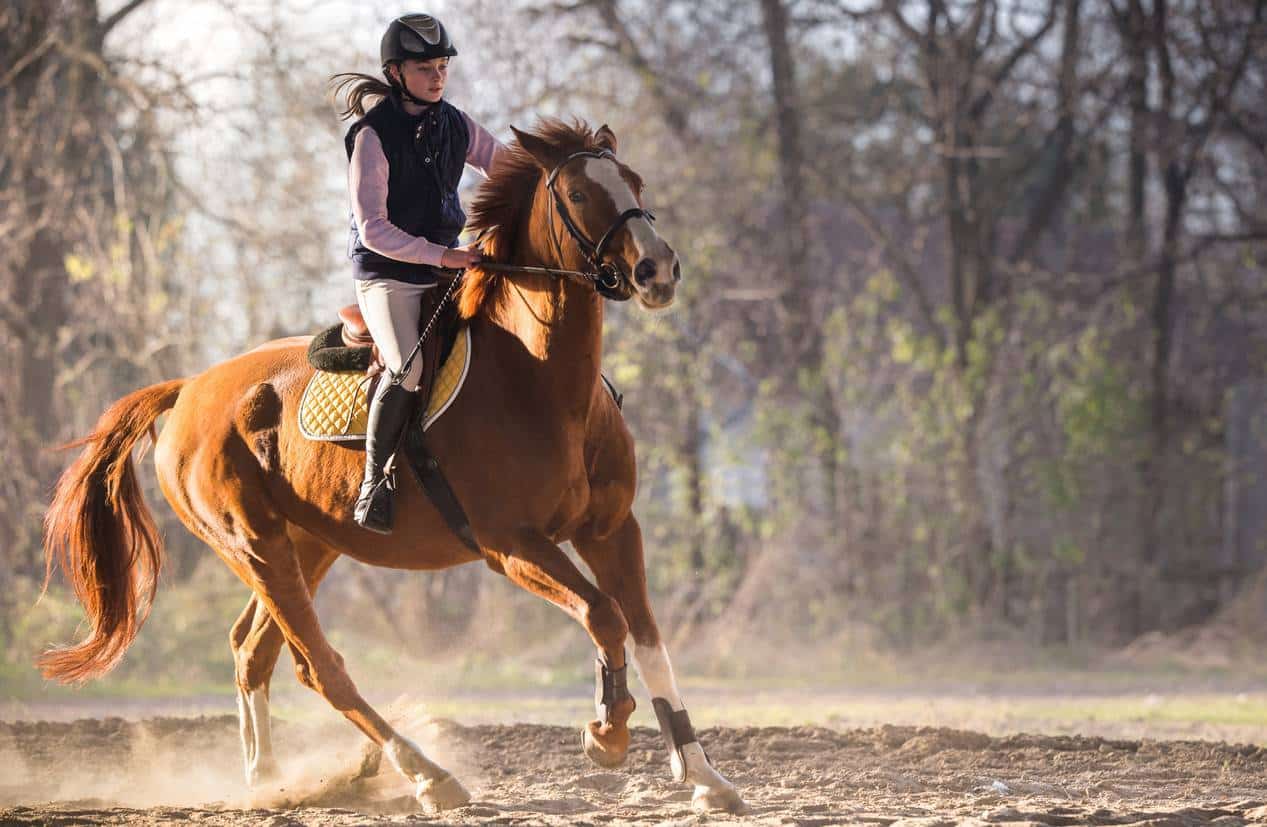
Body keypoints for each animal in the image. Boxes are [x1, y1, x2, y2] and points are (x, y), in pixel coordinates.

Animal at [37, 120, 739, 810]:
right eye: (577, 193)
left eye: (634, 183)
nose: (658, 269)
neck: (540, 381)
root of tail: (188, 388)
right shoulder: (513, 546)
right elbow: (603, 615)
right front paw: (607, 732)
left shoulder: (611, 531)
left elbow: (647, 636)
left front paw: (705, 776)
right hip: (253, 545)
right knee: (317, 666)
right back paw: (427, 775)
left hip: (307, 545)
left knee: (252, 653)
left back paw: (269, 780)